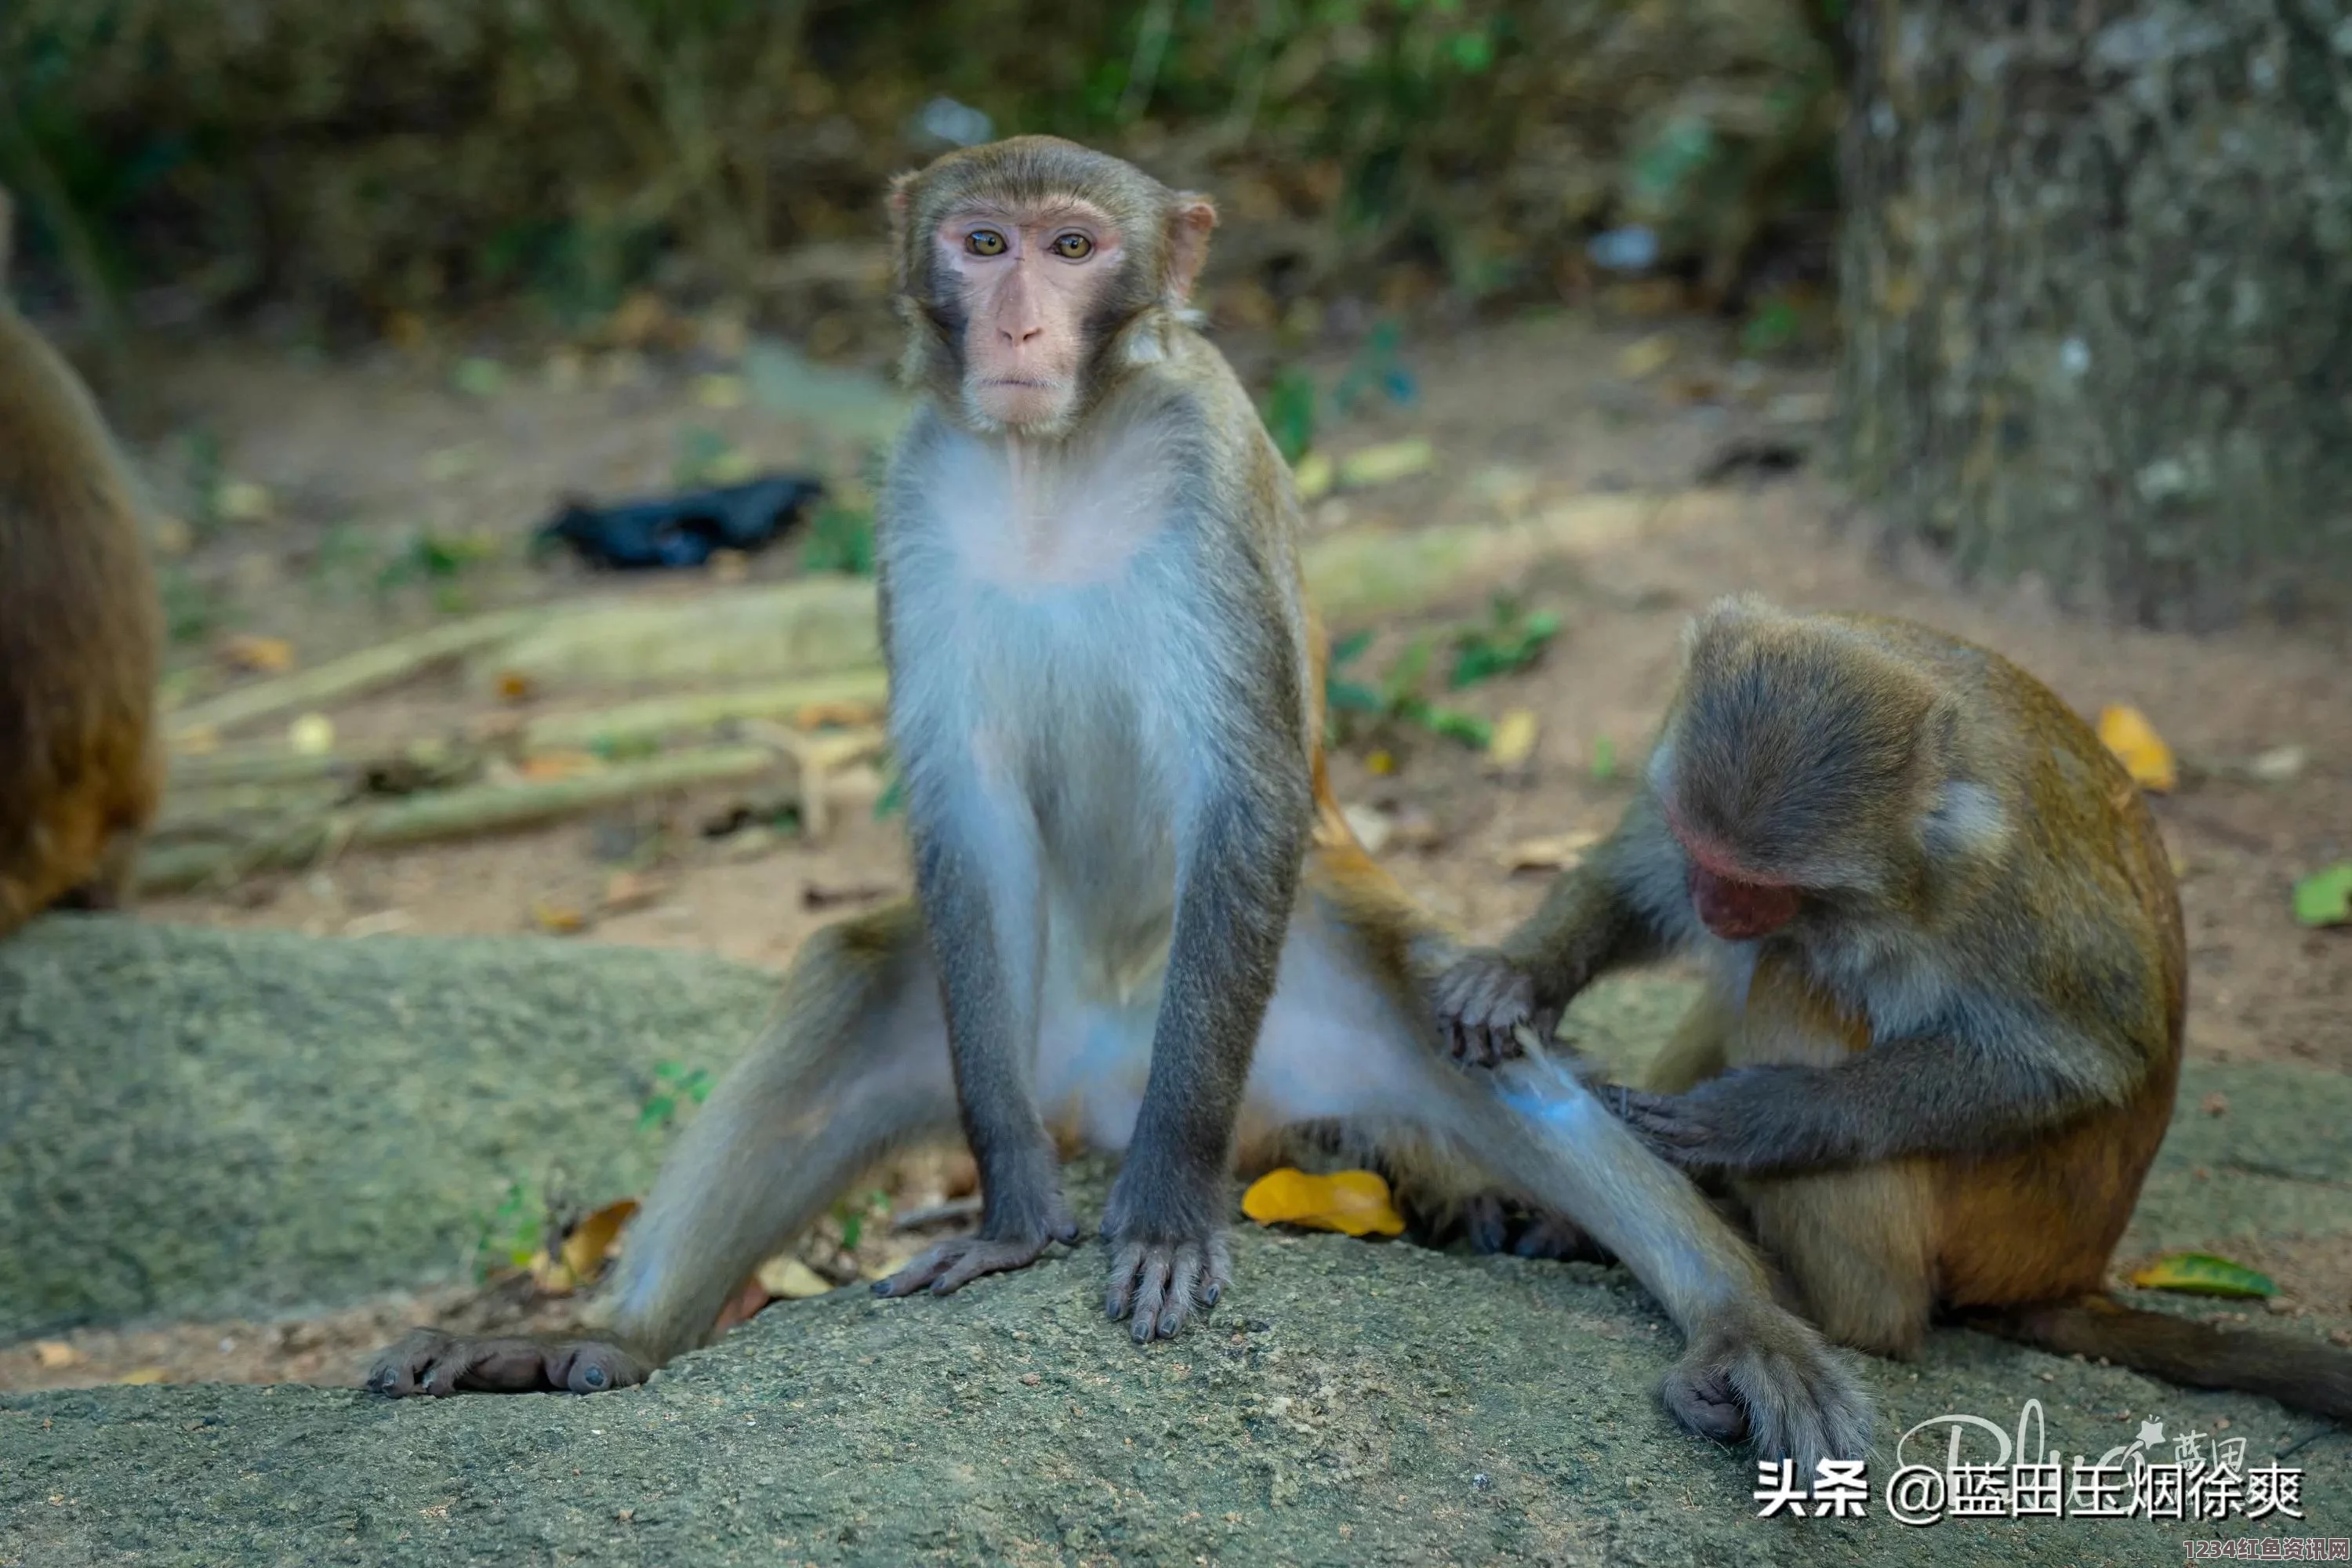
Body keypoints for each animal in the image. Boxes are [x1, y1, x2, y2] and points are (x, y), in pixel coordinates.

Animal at [372, 135, 1872, 1476]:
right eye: (985, 244)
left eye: (1076, 247)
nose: (1022, 320)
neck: (1052, 462)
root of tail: (1097, 1085)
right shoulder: (912, 489)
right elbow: (962, 811)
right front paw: (1012, 1218)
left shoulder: (1210, 470)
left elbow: (1245, 790)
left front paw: (1156, 1217)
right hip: (1008, 1031)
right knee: (849, 978)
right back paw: (607, 1339)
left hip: (1302, 1008)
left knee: (1470, 1034)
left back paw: (1737, 1317)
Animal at [1430, 597, 2352, 1420]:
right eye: (1702, 856)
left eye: (1759, 883)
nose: (1714, 906)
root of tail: (2067, 1273)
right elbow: (1631, 884)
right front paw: (1514, 975)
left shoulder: (2006, 885)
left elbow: (2081, 1060)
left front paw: (1764, 1117)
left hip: (2002, 1220)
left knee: (1788, 976)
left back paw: (1822, 1303)